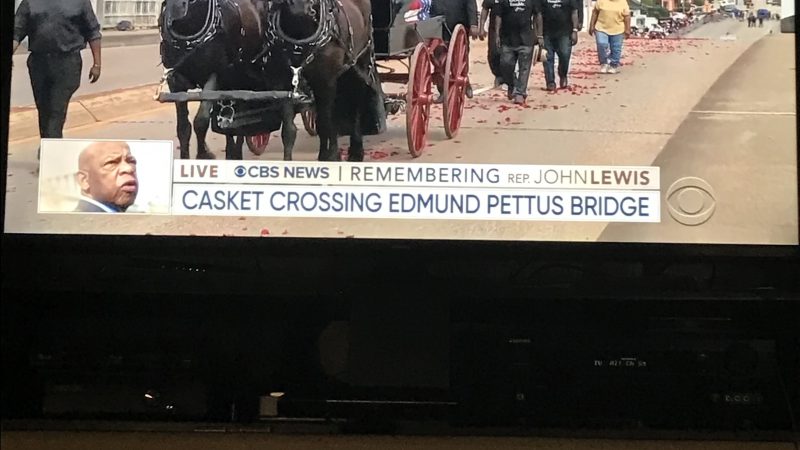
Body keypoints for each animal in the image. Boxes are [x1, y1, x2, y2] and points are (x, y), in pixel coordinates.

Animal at [268, 0, 386, 162]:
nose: (299, 9)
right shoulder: (284, 83)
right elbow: (288, 131)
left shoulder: (325, 81)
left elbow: (325, 122)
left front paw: (330, 156)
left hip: (360, 61)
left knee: (355, 102)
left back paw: (356, 151)